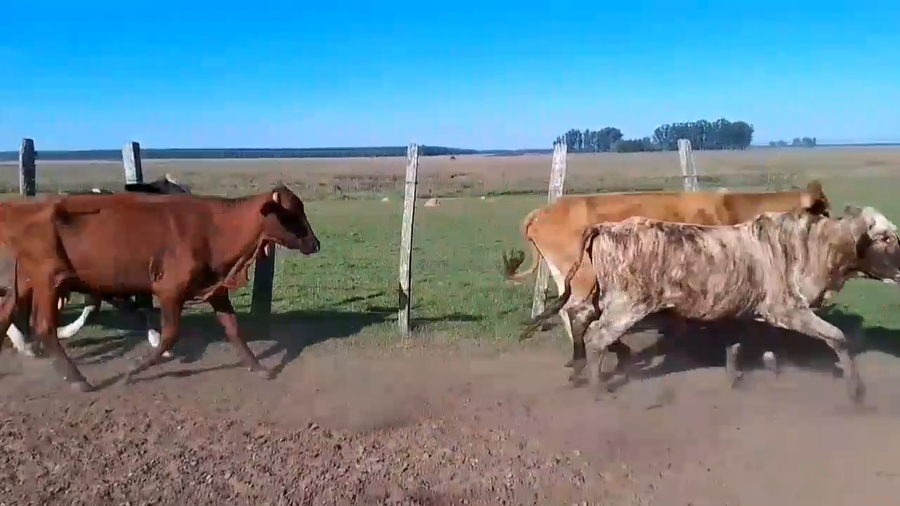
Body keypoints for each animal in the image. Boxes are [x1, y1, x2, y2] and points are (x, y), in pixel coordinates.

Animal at [503, 182, 832, 368]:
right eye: (824, 213)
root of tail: (544, 210)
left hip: (568, 277)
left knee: (568, 312)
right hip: (582, 277)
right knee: (576, 312)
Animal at [523, 205, 900, 405]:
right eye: (884, 237)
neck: (810, 246)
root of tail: (608, 227)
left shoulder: (750, 310)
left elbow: (738, 343)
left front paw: (740, 376)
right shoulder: (788, 308)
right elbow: (837, 337)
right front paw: (856, 390)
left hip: (606, 298)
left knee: (579, 317)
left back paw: (581, 370)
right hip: (626, 305)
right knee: (595, 335)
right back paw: (598, 387)